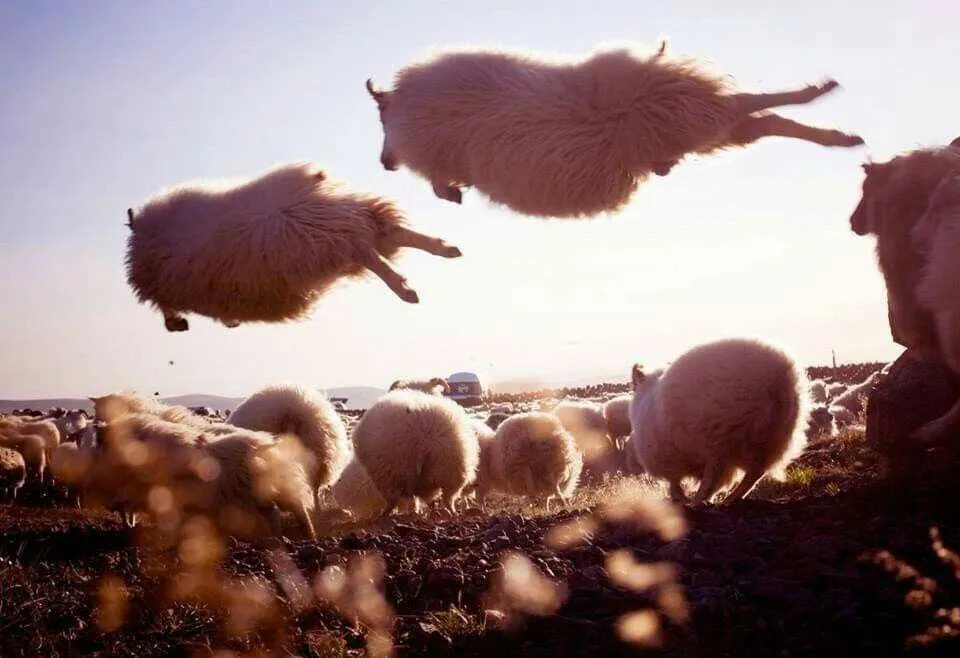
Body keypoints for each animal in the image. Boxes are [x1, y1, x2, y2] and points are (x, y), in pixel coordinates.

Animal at [124, 162, 463, 332]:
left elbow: (164, 306)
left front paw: (178, 322)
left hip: (321, 232)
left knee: (373, 247)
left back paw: (408, 284)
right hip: (331, 234)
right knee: (384, 239)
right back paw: (440, 253)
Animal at [351, 389, 480, 519]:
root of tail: (422, 440)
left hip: (390, 473)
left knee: (393, 499)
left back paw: (384, 515)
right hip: (450, 472)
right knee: (447, 498)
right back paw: (449, 513)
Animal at [366, 40, 863, 219]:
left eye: (381, 120)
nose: (385, 163)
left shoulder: (439, 146)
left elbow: (436, 181)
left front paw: (451, 193)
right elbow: (438, 182)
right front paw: (453, 192)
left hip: (684, 110)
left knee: (753, 104)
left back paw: (821, 96)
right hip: (693, 126)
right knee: (765, 120)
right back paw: (838, 132)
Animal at [627, 337, 810, 506]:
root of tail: (778, 377)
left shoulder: (668, 457)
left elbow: (675, 482)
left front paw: (681, 498)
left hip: (719, 438)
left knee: (715, 474)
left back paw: (699, 501)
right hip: (770, 439)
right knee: (755, 473)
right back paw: (730, 499)